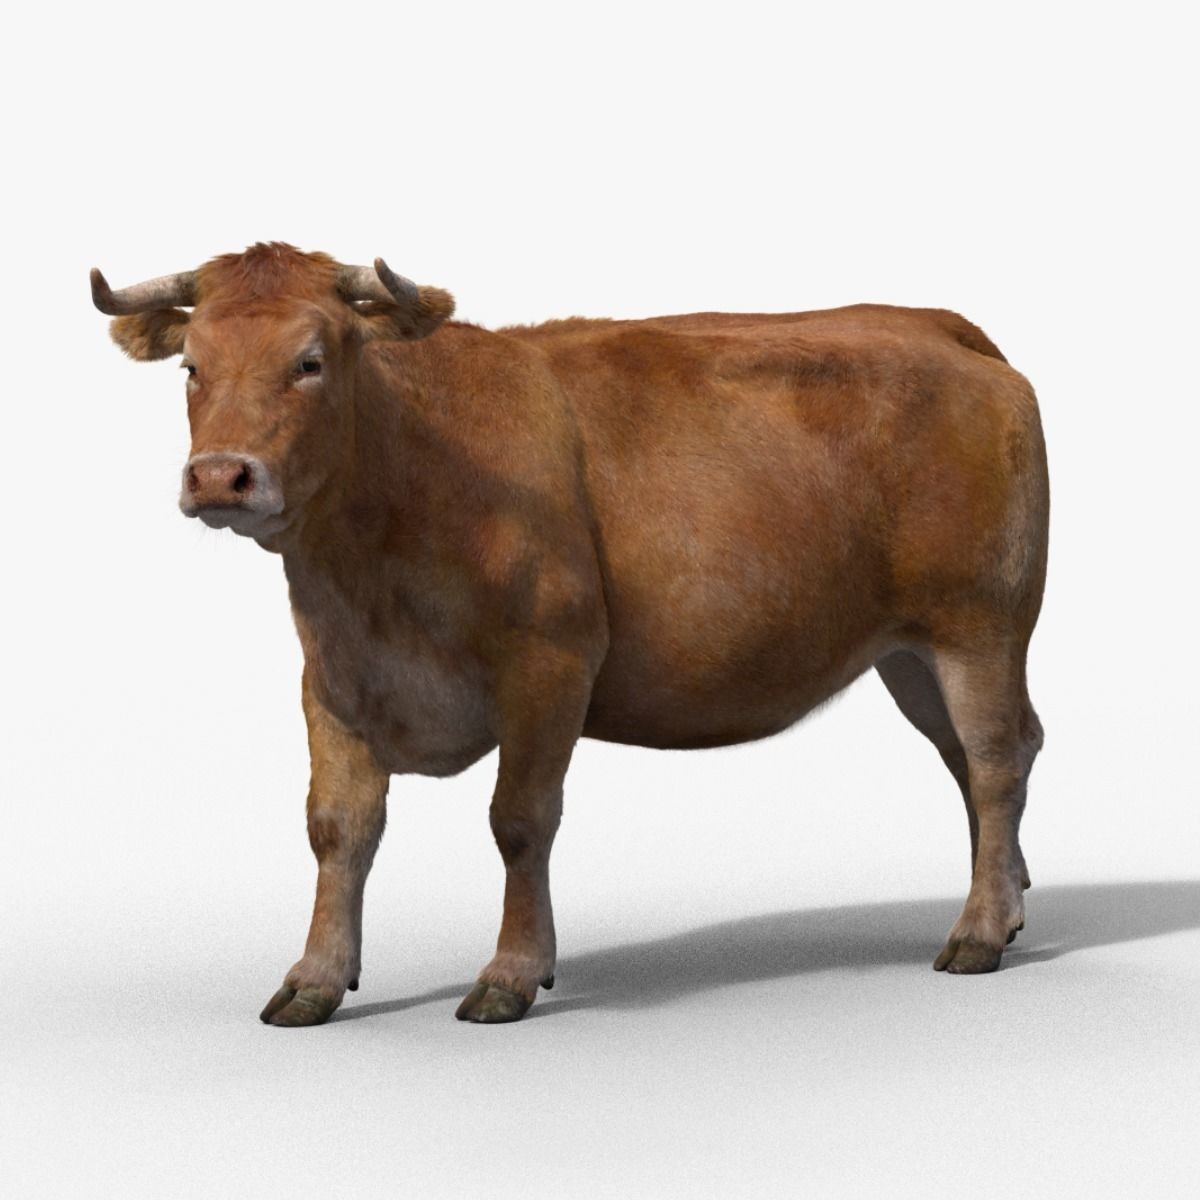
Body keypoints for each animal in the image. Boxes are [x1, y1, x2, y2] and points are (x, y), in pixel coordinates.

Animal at [91, 242, 1048, 1026]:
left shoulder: (549, 662)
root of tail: (937, 327)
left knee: (996, 758)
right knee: (974, 758)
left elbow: (519, 819)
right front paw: (315, 980)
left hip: (979, 624)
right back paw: (1008, 904)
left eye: (310, 361)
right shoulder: (334, 676)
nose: (220, 476)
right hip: (909, 652)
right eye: (192, 367)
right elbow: (337, 828)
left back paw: (978, 933)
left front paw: (511, 974)